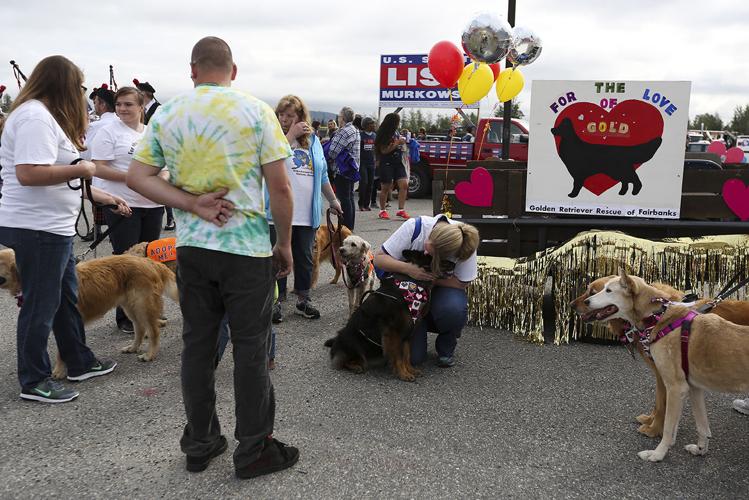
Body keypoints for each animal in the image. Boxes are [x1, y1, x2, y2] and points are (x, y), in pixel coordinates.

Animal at [0, 248, 180, 376]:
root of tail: (149, 262)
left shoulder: (65, 321)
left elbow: (62, 349)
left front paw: (59, 370)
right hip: (131, 307)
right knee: (140, 329)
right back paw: (133, 347)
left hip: (142, 305)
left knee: (153, 331)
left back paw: (150, 354)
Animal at [584, 272, 748, 462]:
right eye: (602, 288)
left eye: (608, 290)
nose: (586, 302)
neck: (658, 317)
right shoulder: (694, 388)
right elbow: (702, 426)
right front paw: (701, 449)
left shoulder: (676, 388)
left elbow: (669, 428)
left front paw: (657, 454)